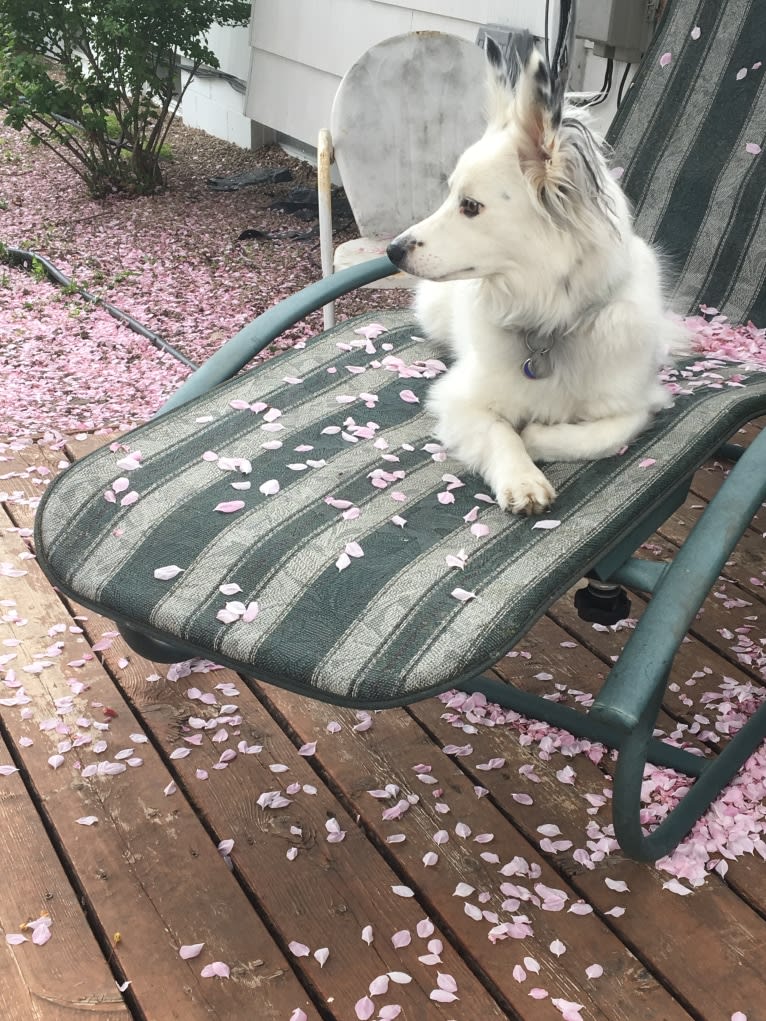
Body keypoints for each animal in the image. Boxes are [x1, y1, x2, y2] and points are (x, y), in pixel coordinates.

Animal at [390, 34, 690, 514]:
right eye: (449, 194)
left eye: (469, 206)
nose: (392, 251)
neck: (550, 321)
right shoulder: (458, 399)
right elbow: (500, 431)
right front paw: (522, 477)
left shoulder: (639, 406)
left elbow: (593, 435)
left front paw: (536, 436)